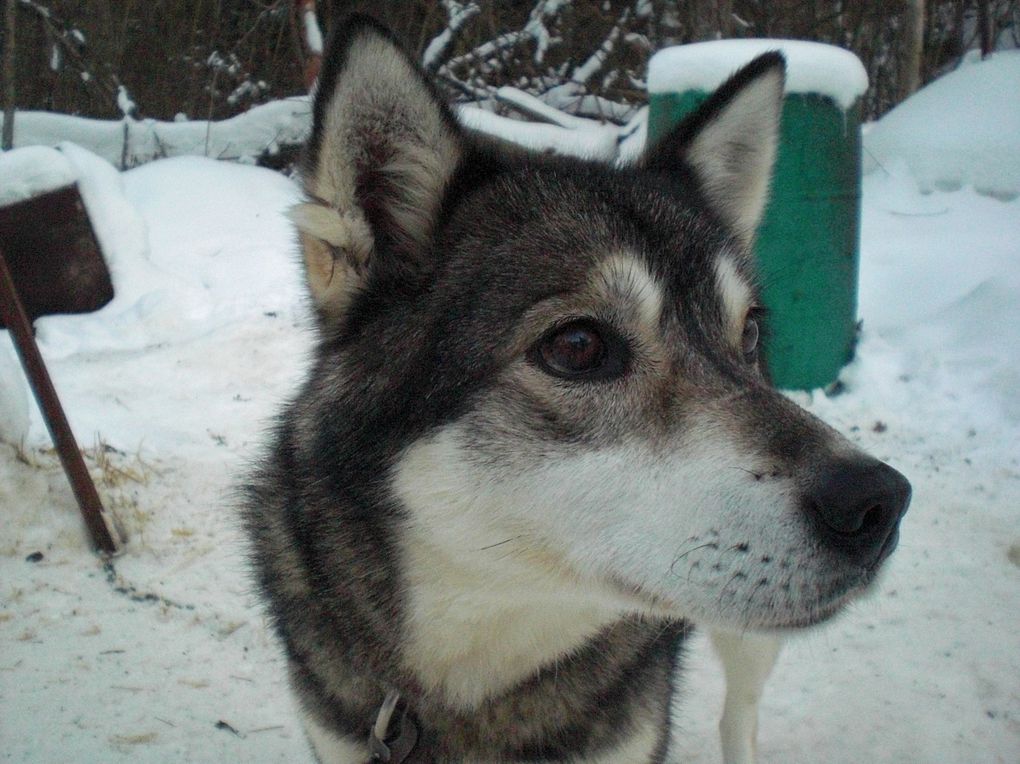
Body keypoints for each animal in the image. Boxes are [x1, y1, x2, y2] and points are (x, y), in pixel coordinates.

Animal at [244, 13, 909, 762]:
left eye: (747, 335)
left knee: (740, 715)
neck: (474, 679)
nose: (879, 503)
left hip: (750, 644)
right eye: (578, 347)